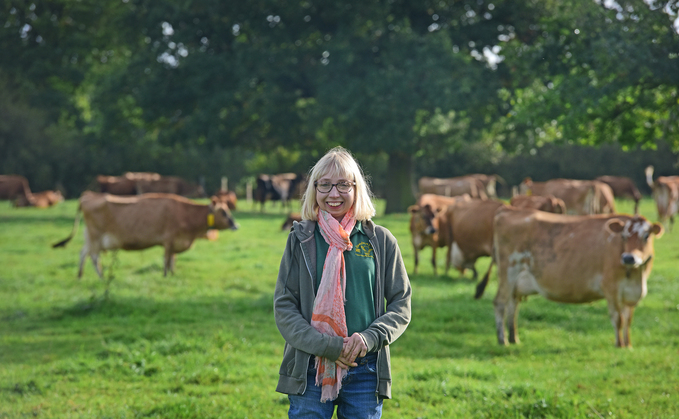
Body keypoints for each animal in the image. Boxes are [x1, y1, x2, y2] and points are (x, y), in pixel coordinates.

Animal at [53, 194, 239, 278]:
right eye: (223, 212)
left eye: (227, 210)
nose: (235, 225)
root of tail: (88, 196)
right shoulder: (169, 239)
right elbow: (167, 259)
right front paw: (165, 276)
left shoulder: (175, 242)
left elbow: (173, 259)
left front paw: (173, 274)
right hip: (95, 237)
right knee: (93, 256)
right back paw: (101, 277)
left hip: (90, 237)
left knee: (82, 253)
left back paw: (79, 276)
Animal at [486, 208, 668, 350]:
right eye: (623, 236)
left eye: (646, 236)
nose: (629, 258)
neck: (637, 277)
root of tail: (508, 210)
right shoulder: (611, 288)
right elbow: (618, 319)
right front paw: (619, 346)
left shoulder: (630, 294)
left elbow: (628, 320)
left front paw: (628, 345)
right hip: (508, 272)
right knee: (500, 302)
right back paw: (503, 340)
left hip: (516, 282)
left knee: (513, 305)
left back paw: (513, 338)